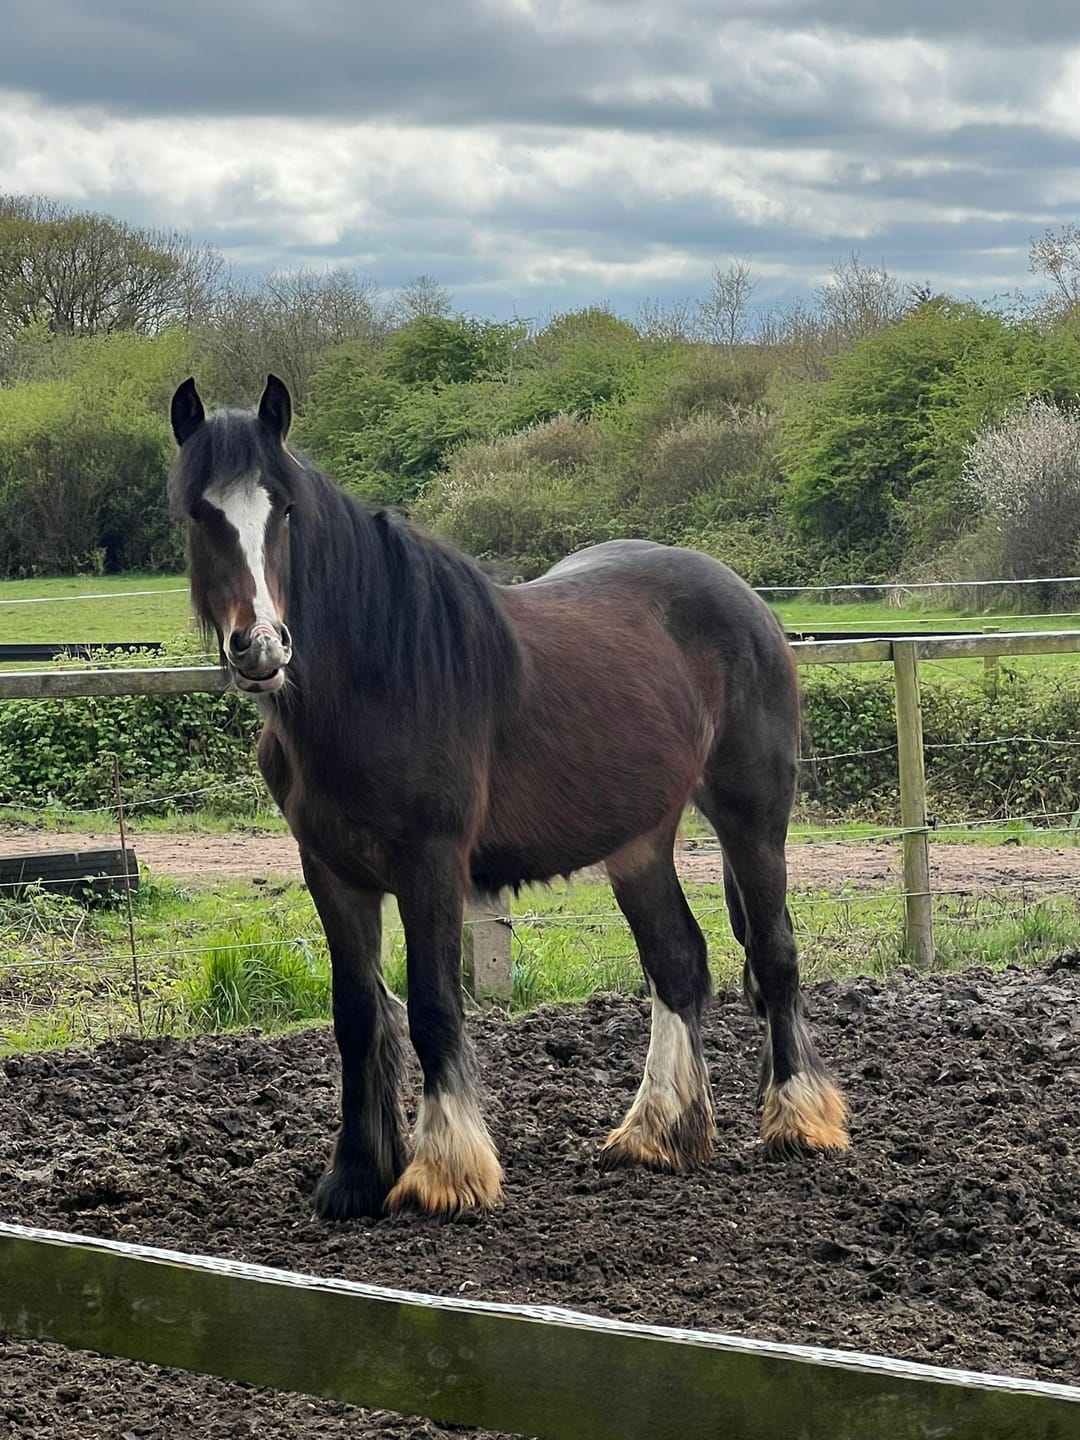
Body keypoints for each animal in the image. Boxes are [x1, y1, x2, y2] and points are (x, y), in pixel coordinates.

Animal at [169, 374, 849, 1220]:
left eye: (285, 509)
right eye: (199, 512)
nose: (260, 646)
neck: (376, 676)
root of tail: (744, 599)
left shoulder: (429, 863)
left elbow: (432, 1006)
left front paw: (444, 1172)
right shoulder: (331, 872)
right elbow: (357, 1014)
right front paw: (355, 1174)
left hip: (752, 816)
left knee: (775, 955)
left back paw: (798, 1119)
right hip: (639, 841)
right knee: (678, 963)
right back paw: (659, 1132)